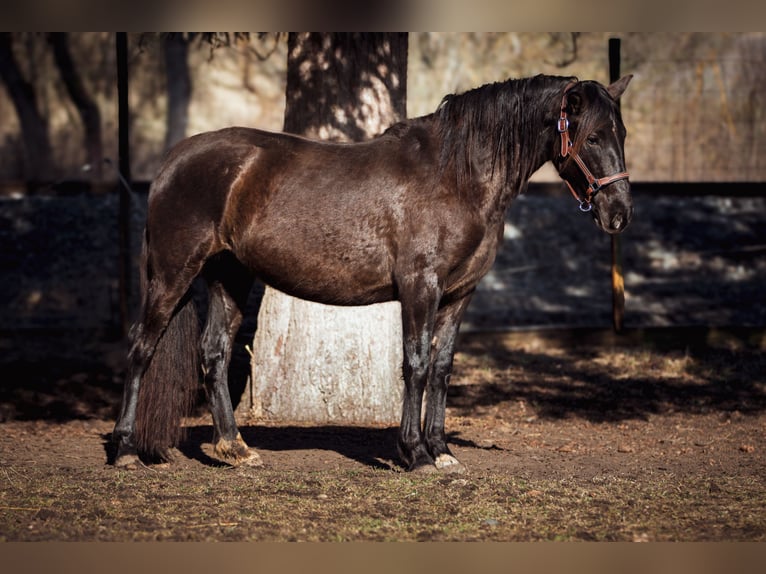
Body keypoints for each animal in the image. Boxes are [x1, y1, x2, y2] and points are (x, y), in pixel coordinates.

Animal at [111, 74, 632, 474]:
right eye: (591, 137)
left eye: (621, 134)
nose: (619, 213)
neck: (456, 176)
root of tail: (176, 159)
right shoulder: (421, 287)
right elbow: (415, 364)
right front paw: (415, 454)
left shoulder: (459, 295)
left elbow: (441, 368)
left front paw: (442, 451)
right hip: (173, 274)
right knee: (140, 348)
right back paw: (125, 449)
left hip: (229, 277)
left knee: (214, 353)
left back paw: (234, 448)